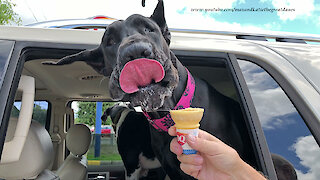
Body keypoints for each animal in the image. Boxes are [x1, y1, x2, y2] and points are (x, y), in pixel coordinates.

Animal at [43, 0, 252, 179]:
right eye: (110, 41)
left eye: (148, 29)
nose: (135, 52)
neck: (168, 116)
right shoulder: (166, 169)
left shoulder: (134, 165)